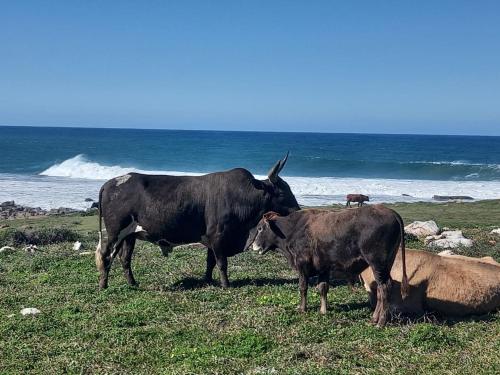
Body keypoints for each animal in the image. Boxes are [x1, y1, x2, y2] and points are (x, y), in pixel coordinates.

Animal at [96, 154, 300, 290]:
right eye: (282, 192)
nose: (297, 210)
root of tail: (109, 183)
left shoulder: (212, 240)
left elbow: (210, 262)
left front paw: (208, 280)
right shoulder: (218, 236)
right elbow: (222, 263)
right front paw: (226, 285)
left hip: (129, 235)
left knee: (124, 259)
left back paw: (133, 283)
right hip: (115, 232)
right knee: (106, 255)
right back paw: (104, 285)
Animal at [248, 207, 408, 328]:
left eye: (260, 228)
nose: (253, 246)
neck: (292, 229)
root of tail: (390, 212)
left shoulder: (302, 264)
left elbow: (303, 287)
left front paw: (302, 308)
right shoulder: (323, 267)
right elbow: (323, 288)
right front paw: (323, 310)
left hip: (377, 263)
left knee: (384, 287)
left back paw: (381, 322)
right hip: (385, 264)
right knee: (381, 289)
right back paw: (374, 318)